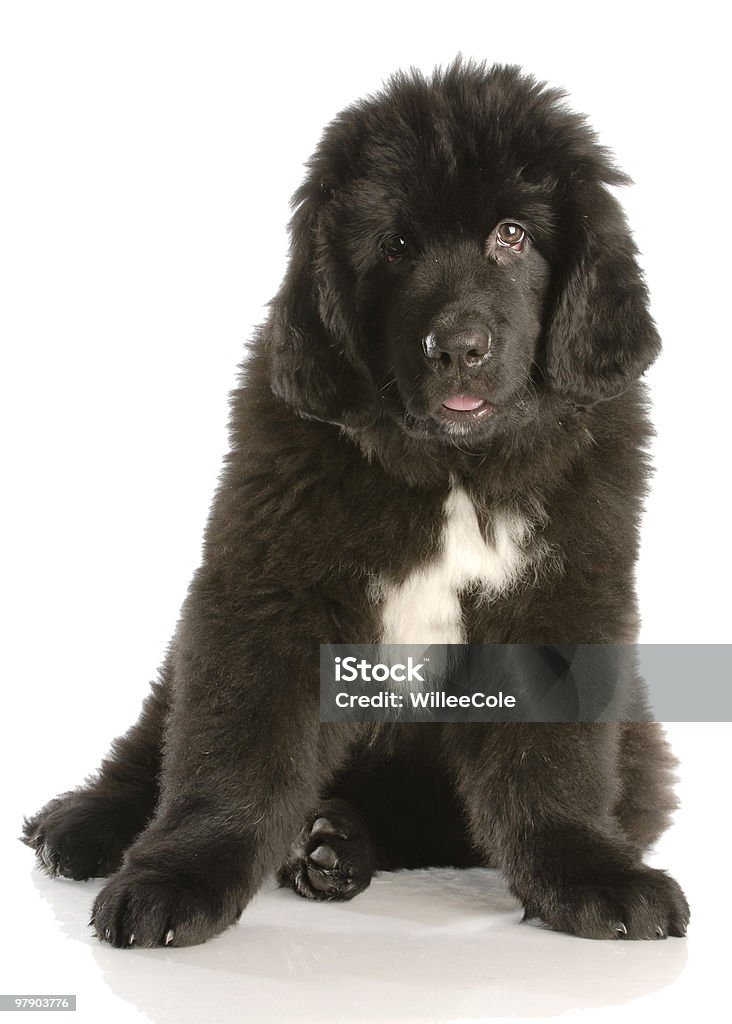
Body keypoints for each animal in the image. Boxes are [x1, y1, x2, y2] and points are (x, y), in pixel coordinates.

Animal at [22, 61, 692, 942]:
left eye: (512, 235)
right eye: (397, 245)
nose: (458, 349)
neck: (454, 471)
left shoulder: (565, 597)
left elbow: (555, 760)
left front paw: (589, 871)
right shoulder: (266, 588)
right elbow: (233, 749)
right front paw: (179, 876)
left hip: (636, 747)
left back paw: (336, 843)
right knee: (152, 742)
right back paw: (87, 823)